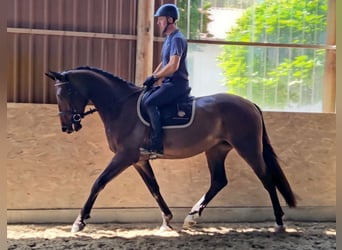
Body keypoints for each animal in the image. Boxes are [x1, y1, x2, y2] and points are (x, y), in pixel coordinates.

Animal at [45, 66, 296, 232]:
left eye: (65, 93)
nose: (66, 127)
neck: (121, 107)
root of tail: (250, 104)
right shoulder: (139, 160)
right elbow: (154, 188)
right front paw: (167, 219)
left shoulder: (125, 156)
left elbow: (99, 182)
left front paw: (79, 221)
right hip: (216, 150)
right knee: (218, 181)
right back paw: (192, 217)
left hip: (248, 148)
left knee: (266, 179)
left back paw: (279, 221)